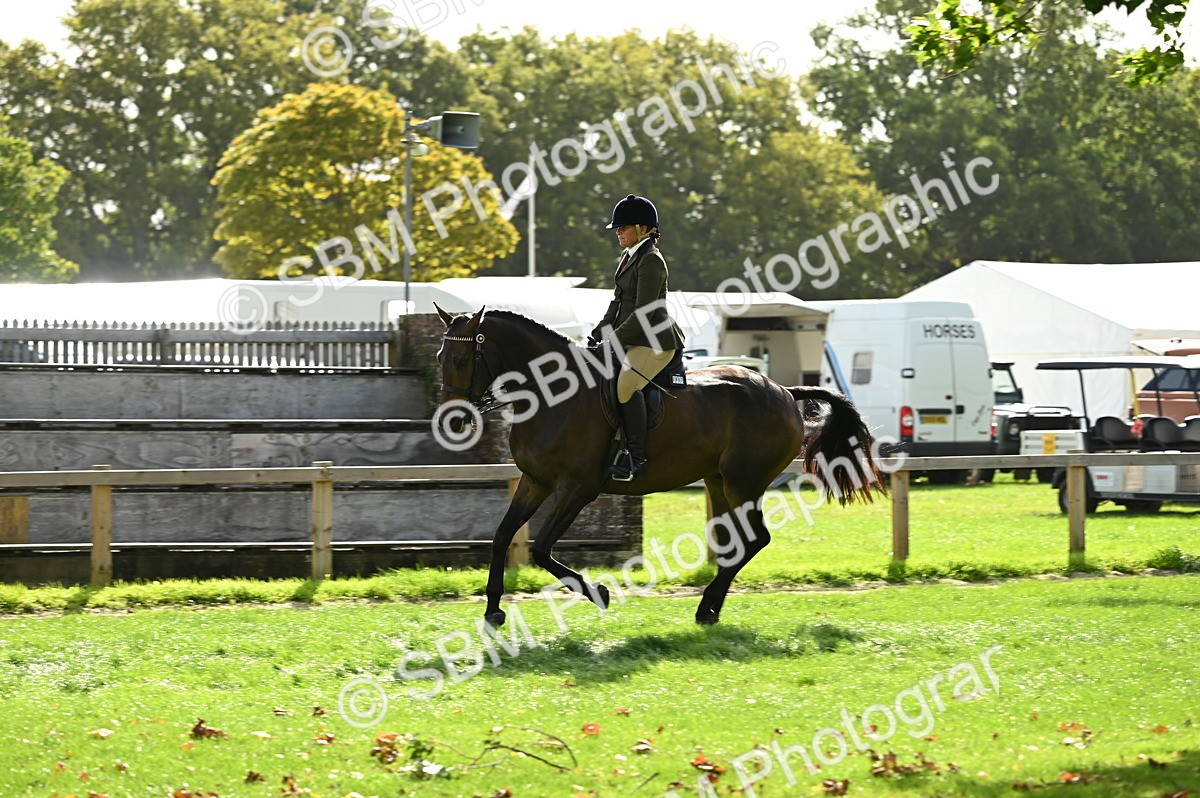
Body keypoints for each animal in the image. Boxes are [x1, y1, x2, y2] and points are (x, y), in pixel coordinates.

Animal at [434, 306, 887, 626]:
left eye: (462, 360)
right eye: (441, 355)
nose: (452, 421)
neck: (552, 395)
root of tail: (783, 390)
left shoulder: (577, 489)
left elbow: (542, 548)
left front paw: (598, 593)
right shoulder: (536, 481)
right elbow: (502, 535)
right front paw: (493, 609)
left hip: (744, 482)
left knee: (755, 539)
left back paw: (706, 607)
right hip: (719, 481)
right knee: (738, 542)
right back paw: (709, 609)